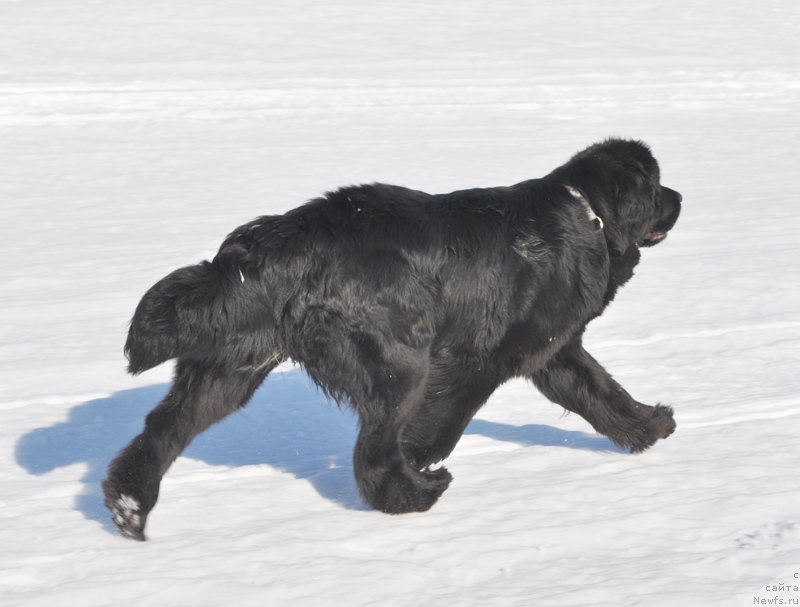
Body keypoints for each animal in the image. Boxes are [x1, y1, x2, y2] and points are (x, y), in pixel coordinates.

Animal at [104, 139, 680, 540]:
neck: (589, 215)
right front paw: (420, 459)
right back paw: (416, 494)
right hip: (399, 364)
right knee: (373, 452)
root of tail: (278, 245)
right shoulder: (483, 360)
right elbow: (440, 429)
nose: (679, 196)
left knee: (161, 430)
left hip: (230, 367)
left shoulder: (555, 351)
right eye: (655, 186)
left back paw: (128, 507)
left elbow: (602, 393)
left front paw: (650, 425)